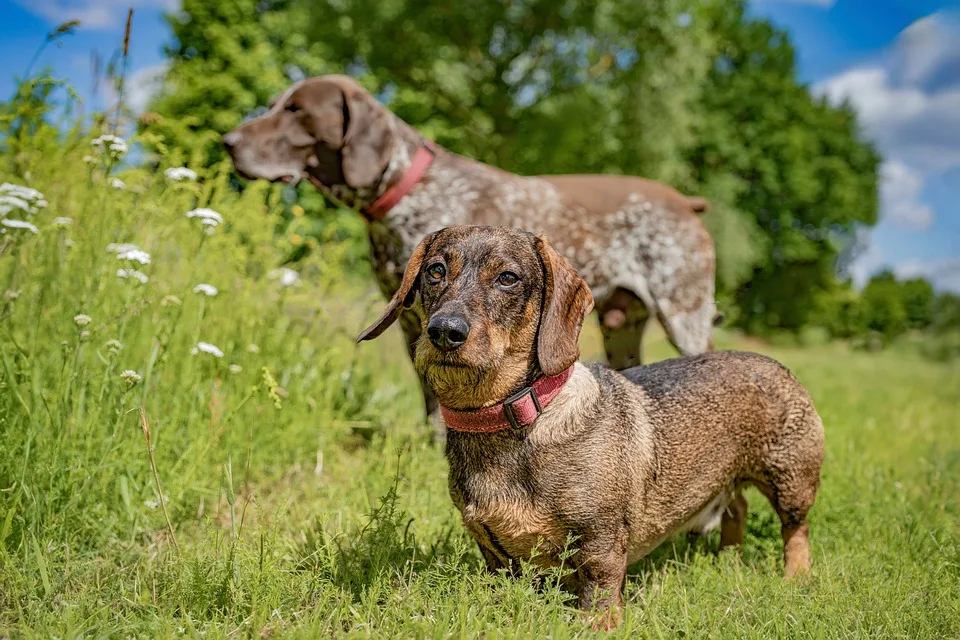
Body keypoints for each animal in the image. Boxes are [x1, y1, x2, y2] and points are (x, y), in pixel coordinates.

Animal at [225, 74, 716, 424]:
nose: (228, 142)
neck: (408, 187)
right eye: (276, 105)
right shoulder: (414, 319)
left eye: (296, 110)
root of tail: (686, 202)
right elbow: (430, 395)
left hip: (684, 316)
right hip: (621, 328)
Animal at [356, 226, 820, 632]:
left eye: (508, 278)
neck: (516, 416)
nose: (444, 331)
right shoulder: (493, 551)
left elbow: (598, 591)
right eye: (435, 270)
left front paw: (598, 626)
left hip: (791, 480)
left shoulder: (600, 540)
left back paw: (796, 578)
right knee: (736, 507)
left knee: (795, 530)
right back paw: (727, 557)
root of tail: (774, 363)